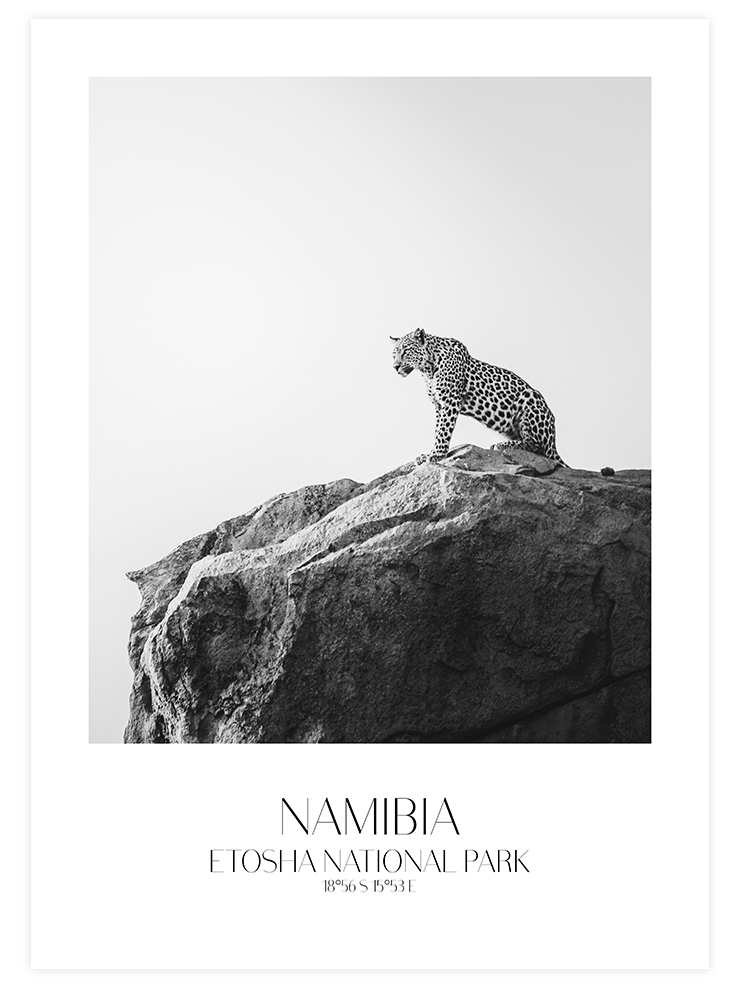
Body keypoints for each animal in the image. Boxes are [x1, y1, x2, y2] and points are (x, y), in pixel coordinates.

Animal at [390, 327, 568, 467]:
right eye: (394, 354)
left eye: (406, 351)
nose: (395, 367)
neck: (427, 370)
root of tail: (554, 442)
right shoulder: (439, 405)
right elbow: (437, 430)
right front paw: (429, 453)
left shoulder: (450, 401)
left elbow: (443, 430)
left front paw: (436, 455)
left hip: (530, 397)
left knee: (538, 448)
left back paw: (502, 445)